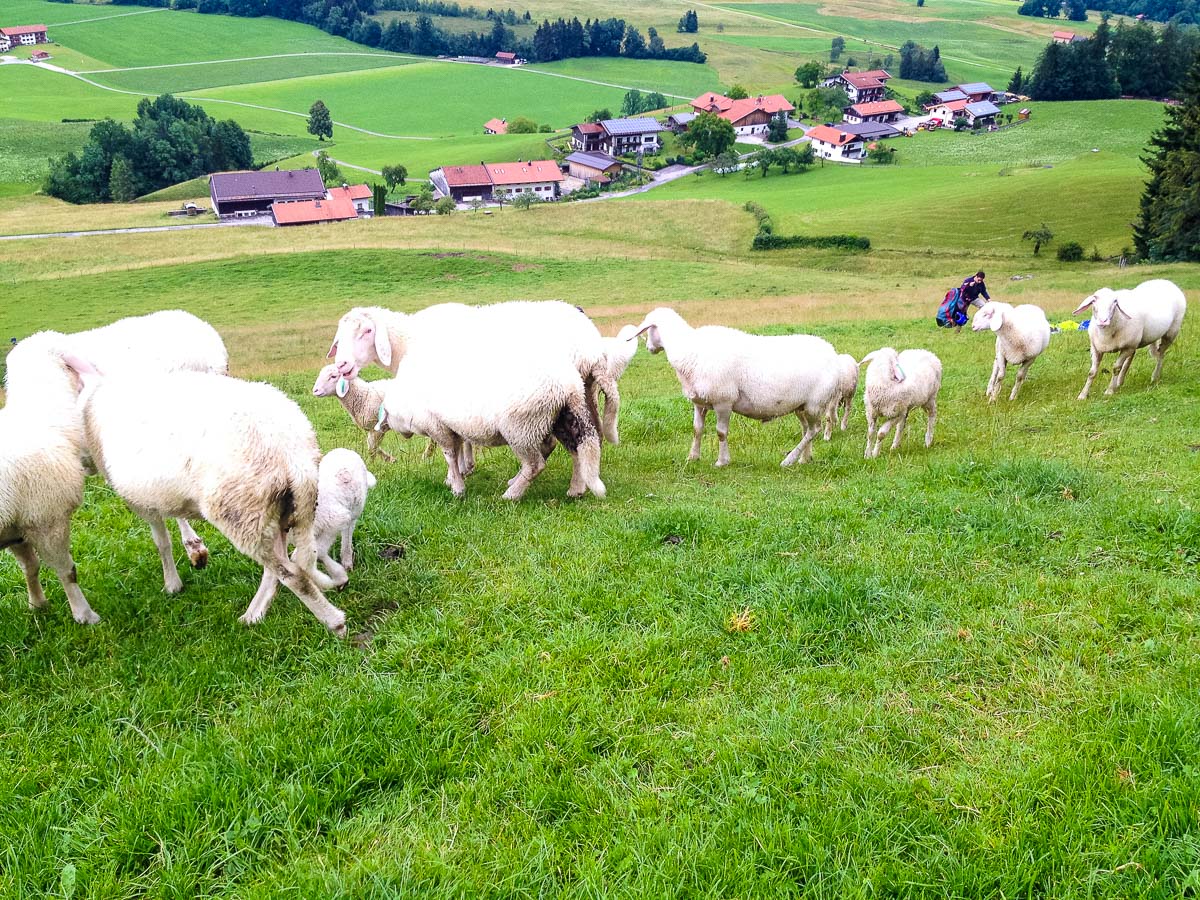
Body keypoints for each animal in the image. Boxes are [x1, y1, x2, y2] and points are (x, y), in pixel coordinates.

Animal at [1, 334, 99, 624]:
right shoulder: (46, 520)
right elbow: (68, 572)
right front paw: (84, 615)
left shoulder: (17, 527)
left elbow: (30, 566)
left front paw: (37, 604)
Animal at [59, 352, 347, 635]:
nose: (82, 465)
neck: (95, 397)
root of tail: (292, 455)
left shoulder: (140, 501)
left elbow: (161, 540)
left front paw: (172, 583)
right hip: (281, 509)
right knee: (279, 566)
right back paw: (254, 615)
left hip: (241, 513)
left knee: (292, 574)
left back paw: (335, 623)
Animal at [240, 448, 376, 626]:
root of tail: (347, 451)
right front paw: (251, 616)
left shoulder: (334, 520)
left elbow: (308, 555)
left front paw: (338, 578)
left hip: (355, 508)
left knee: (348, 532)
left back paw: (347, 561)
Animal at [379, 333, 604, 501]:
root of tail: (570, 386)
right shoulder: (452, 427)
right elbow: (457, 452)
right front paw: (454, 478)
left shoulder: (437, 427)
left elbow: (449, 455)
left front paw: (458, 489)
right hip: (561, 419)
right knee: (576, 451)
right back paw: (575, 490)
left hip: (520, 427)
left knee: (535, 465)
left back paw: (511, 494)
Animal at [633, 307, 839, 467]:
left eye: (648, 331)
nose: (649, 348)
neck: (687, 350)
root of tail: (832, 352)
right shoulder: (699, 402)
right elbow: (697, 429)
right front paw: (693, 457)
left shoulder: (723, 401)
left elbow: (721, 432)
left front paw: (722, 461)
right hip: (801, 406)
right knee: (806, 430)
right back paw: (804, 459)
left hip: (815, 403)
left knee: (814, 430)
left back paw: (788, 460)